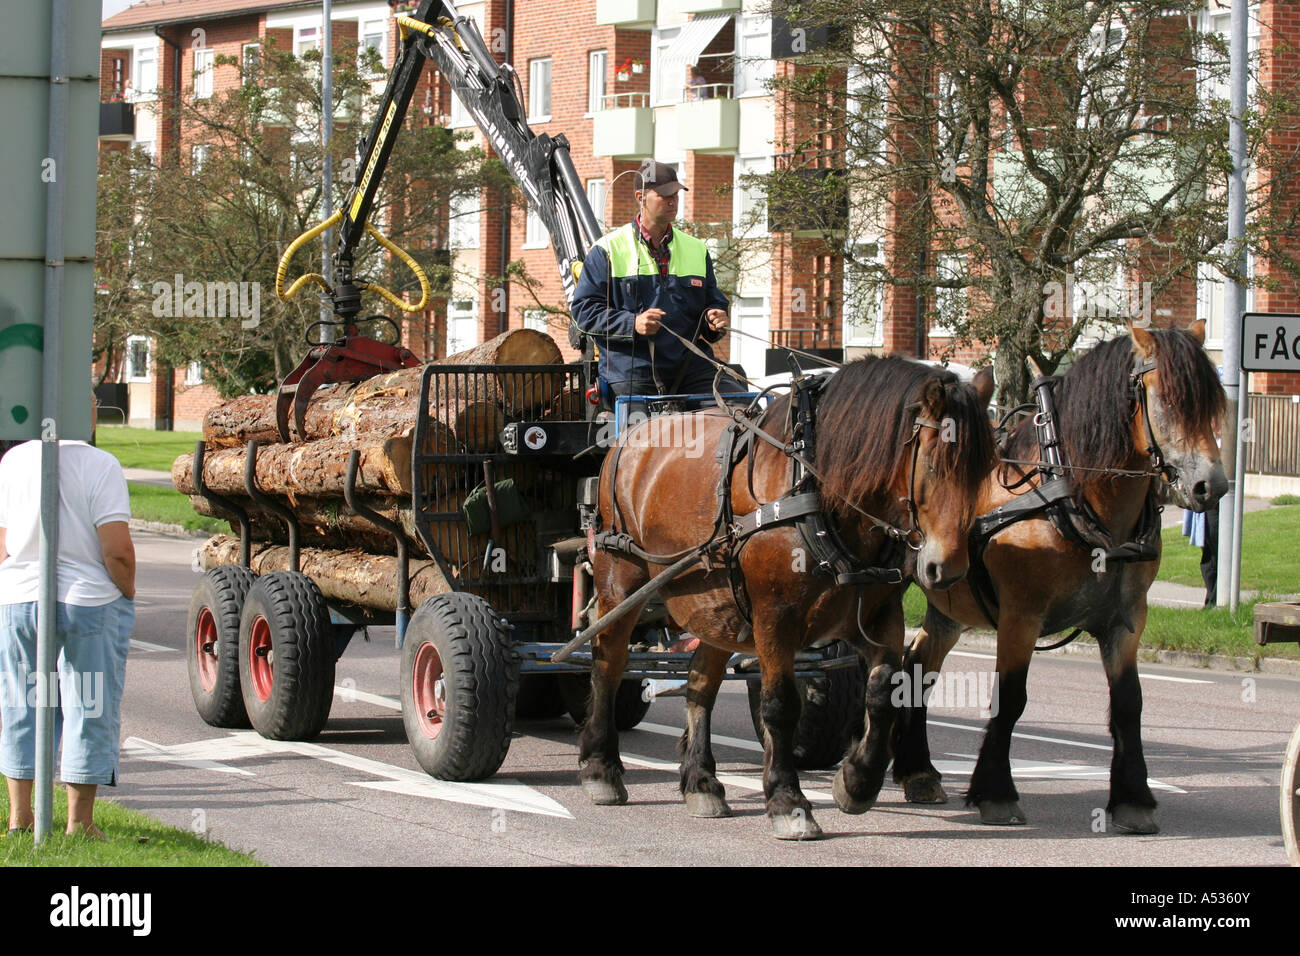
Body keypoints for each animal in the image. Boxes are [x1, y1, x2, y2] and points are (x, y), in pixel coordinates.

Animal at [576, 356, 997, 839]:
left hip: (717, 605)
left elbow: (883, 690)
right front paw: (787, 800)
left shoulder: (877, 617)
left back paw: (701, 781)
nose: (948, 568)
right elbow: (780, 705)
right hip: (620, 581)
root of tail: (631, 435)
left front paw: (857, 781)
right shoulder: (774, 618)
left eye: (985, 467)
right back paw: (601, 768)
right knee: (608, 663)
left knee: (701, 681)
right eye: (933, 464)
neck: (819, 492)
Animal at [891, 323, 1227, 834]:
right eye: (1168, 401)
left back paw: (919, 772)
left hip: (947, 603)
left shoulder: (1126, 621)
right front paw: (996, 793)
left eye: (1213, 404)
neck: (1069, 493)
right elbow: (1010, 698)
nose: (1214, 486)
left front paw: (1133, 799)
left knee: (917, 667)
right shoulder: (1021, 617)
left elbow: (1129, 703)